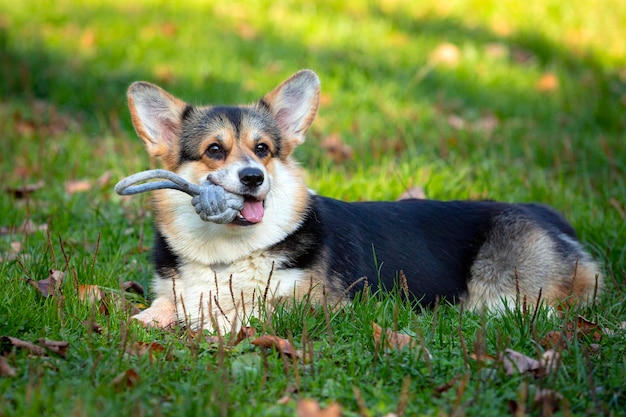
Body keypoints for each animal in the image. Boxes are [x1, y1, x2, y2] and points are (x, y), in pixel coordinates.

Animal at [125, 70, 600, 332]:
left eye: (262, 149)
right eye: (215, 150)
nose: (253, 178)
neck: (229, 253)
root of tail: (543, 212)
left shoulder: (317, 306)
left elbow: (253, 310)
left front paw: (213, 322)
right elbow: (167, 301)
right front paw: (152, 318)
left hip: (505, 294)